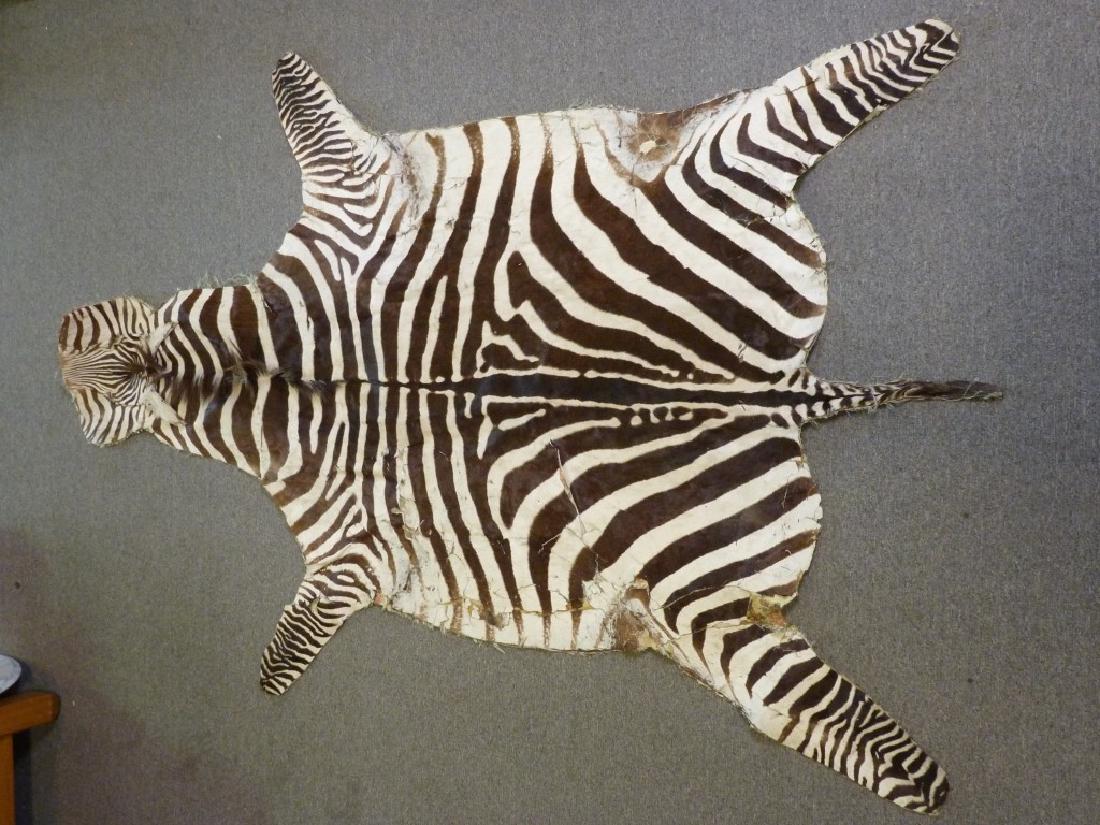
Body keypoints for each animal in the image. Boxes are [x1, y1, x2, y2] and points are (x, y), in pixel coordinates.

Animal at [58, 18, 998, 813]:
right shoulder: (346, 556)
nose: (54, 350)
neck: (220, 369)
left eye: (86, 391)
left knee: (779, 105)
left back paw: (926, 40)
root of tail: (776, 388)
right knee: (787, 692)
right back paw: (923, 776)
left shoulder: (348, 194)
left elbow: (308, 110)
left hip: (697, 171)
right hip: (703, 604)